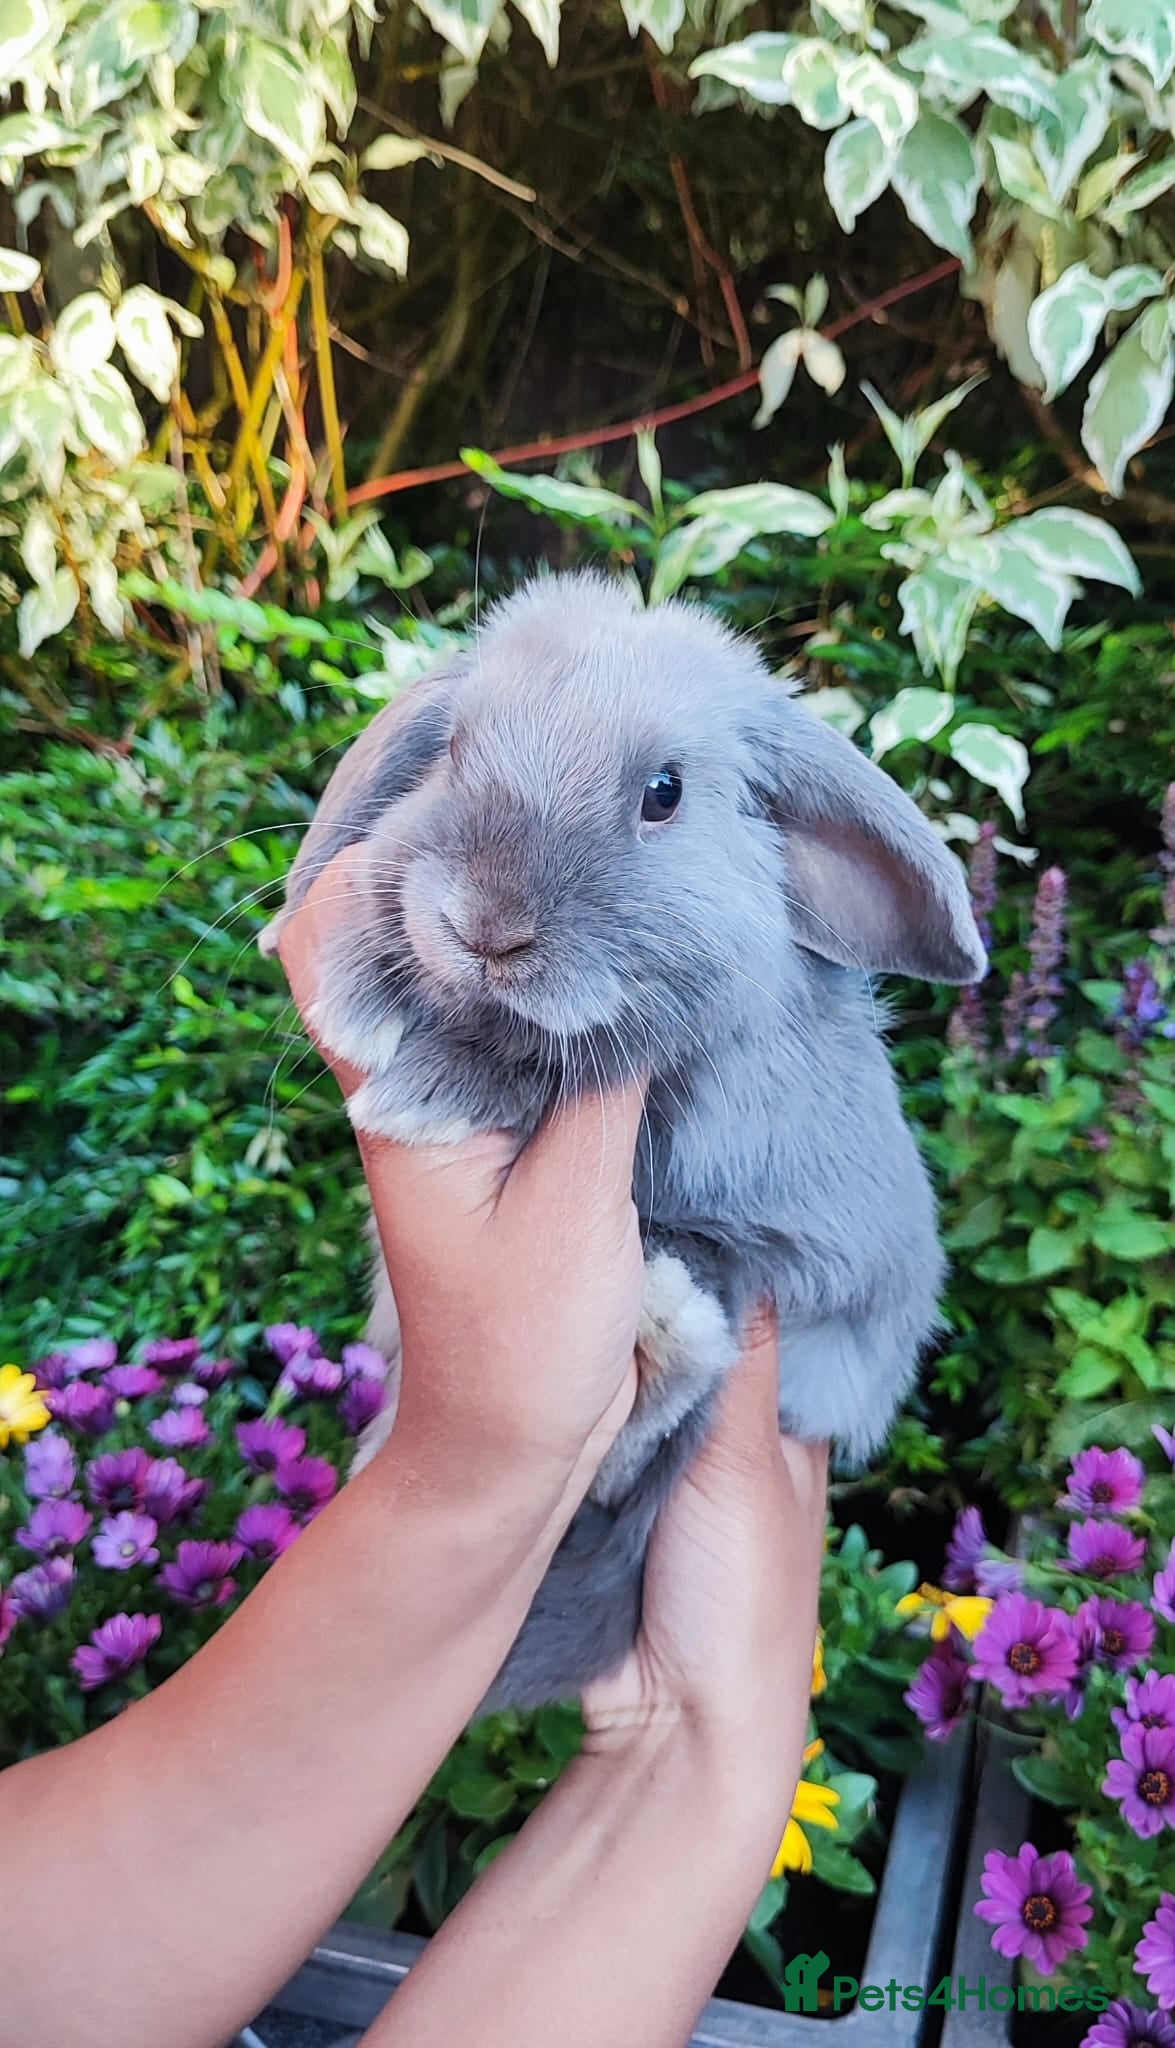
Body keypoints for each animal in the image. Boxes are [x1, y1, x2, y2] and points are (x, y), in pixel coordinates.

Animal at [260, 570, 986, 1712]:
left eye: (663, 792)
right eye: (452, 749)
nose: (484, 924)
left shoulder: (681, 1070)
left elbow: (557, 1063)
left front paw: (424, 1077)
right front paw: (367, 983)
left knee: (637, 1443)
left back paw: (666, 1314)